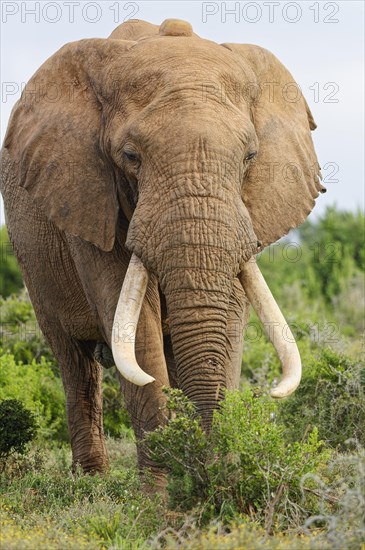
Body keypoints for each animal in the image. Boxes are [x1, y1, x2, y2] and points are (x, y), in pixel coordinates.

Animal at [0, 18, 324, 478]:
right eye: (130, 155)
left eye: (250, 156)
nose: (206, 467)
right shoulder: (88, 196)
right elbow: (134, 329)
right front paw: (164, 490)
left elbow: (232, 312)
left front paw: (218, 475)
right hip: (35, 265)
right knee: (74, 362)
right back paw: (91, 481)